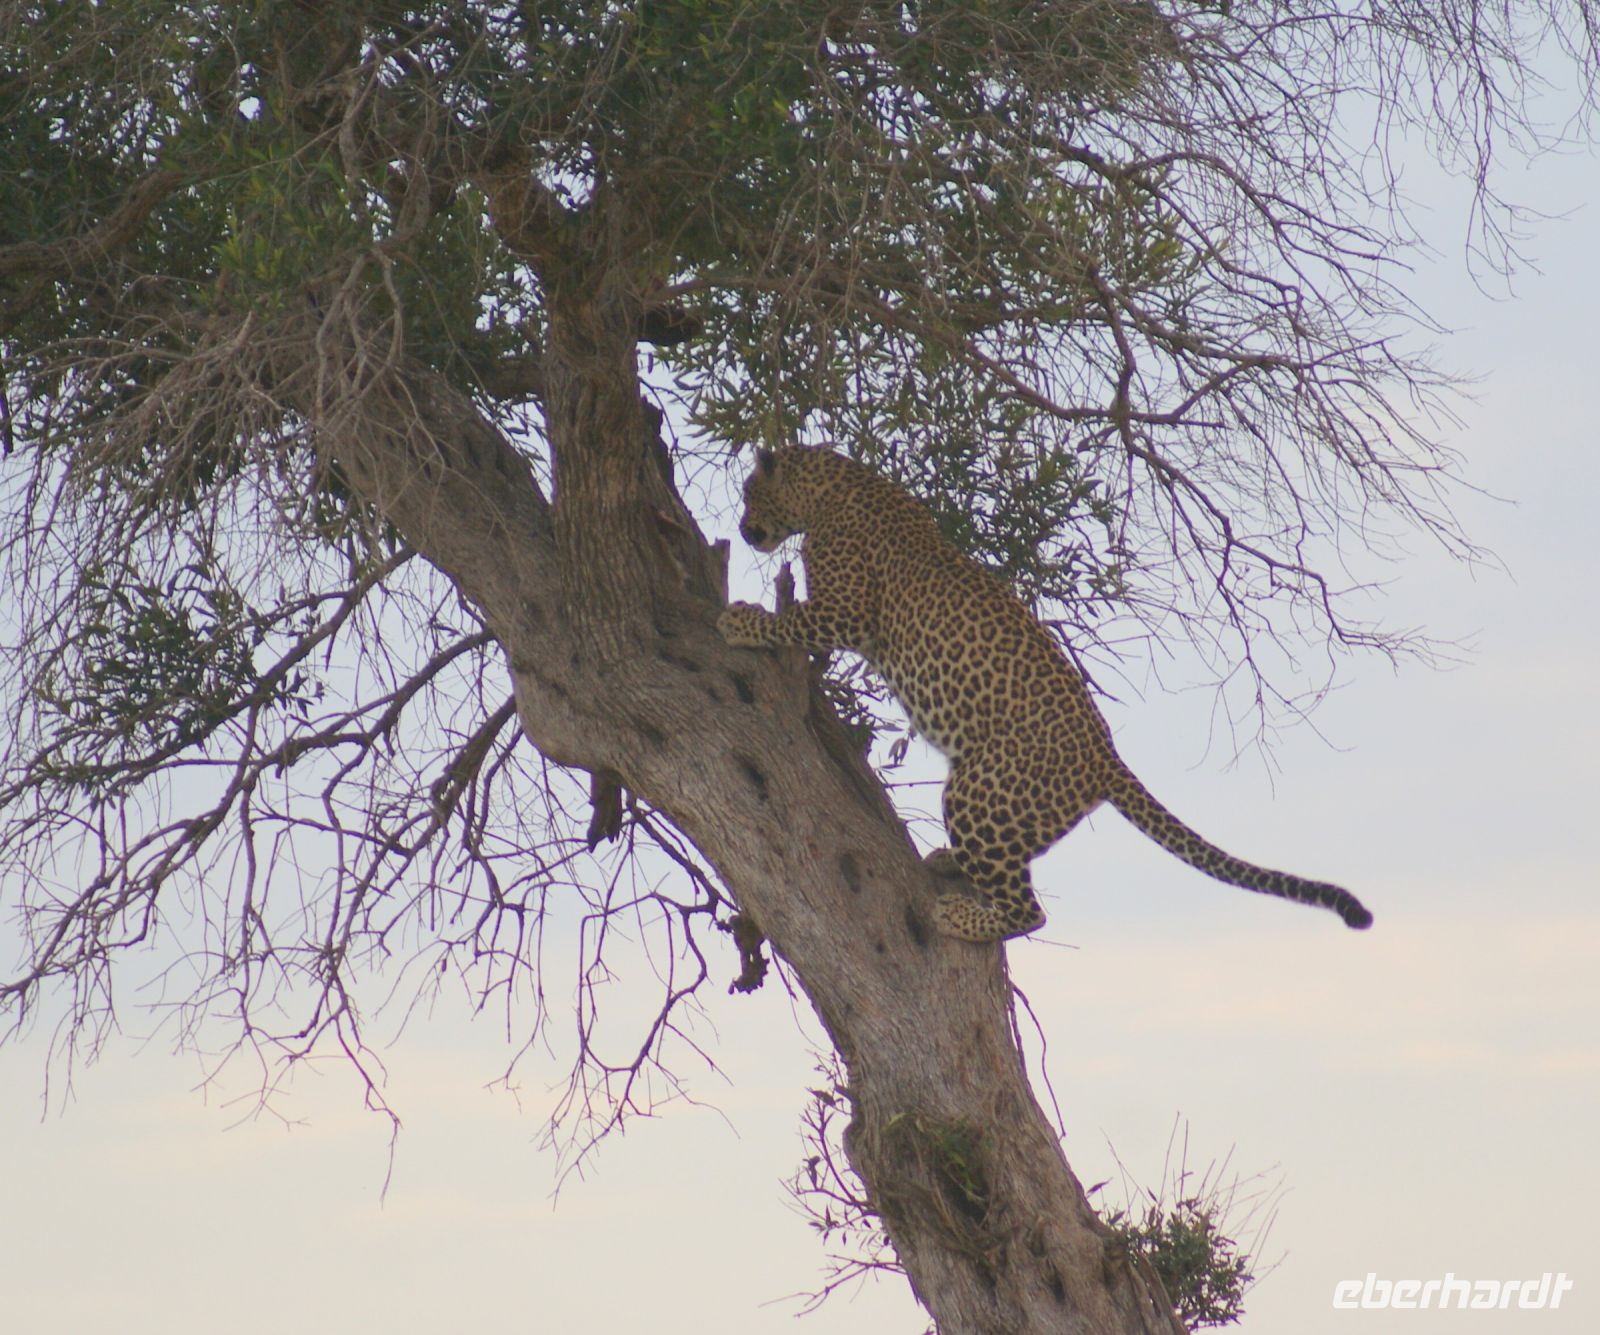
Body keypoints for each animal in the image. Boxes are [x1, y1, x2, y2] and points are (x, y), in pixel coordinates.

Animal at [717, 445, 1374, 943]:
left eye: (749, 493)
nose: (745, 530)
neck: (830, 485)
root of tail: (1105, 758)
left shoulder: (848, 609)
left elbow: (793, 622)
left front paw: (742, 621)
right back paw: (950, 863)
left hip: (981, 789)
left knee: (1030, 912)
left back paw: (957, 915)